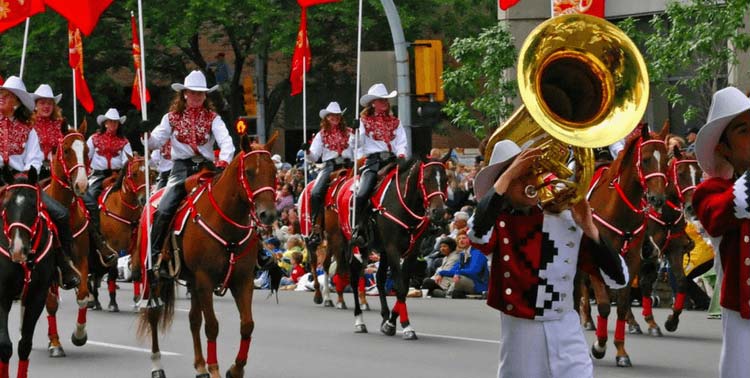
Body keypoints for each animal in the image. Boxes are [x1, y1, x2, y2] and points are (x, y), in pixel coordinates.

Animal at [88, 154, 153, 314]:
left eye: (150, 173)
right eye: (134, 174)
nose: (143, 199)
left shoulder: (135, 247)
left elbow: (136, 272)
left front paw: (137, 300)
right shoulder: (112, 247)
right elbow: (112, 273)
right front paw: (113, 303)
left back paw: (96, 300)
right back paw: (92, 300)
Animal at [136, 135, 280, 378]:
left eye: (274, 172)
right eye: (249, 171)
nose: (267, 214)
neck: (227, 225)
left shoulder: (242, 280)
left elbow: (247, 324)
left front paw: (235, 369)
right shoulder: (205, 279)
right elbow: (212, 326)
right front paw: (215, 369)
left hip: (192, 282)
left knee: (193, 319)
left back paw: (200, 366)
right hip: (156, 279)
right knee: (154, 313)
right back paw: (157, 365)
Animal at [580, 124, 668, 366]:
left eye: (667, 160)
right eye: (646, 159)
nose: (657, 199)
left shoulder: (631, 260)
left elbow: (620, 306)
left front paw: (621, 351)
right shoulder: (598, 262)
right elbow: (602, 304)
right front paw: (599, 346)